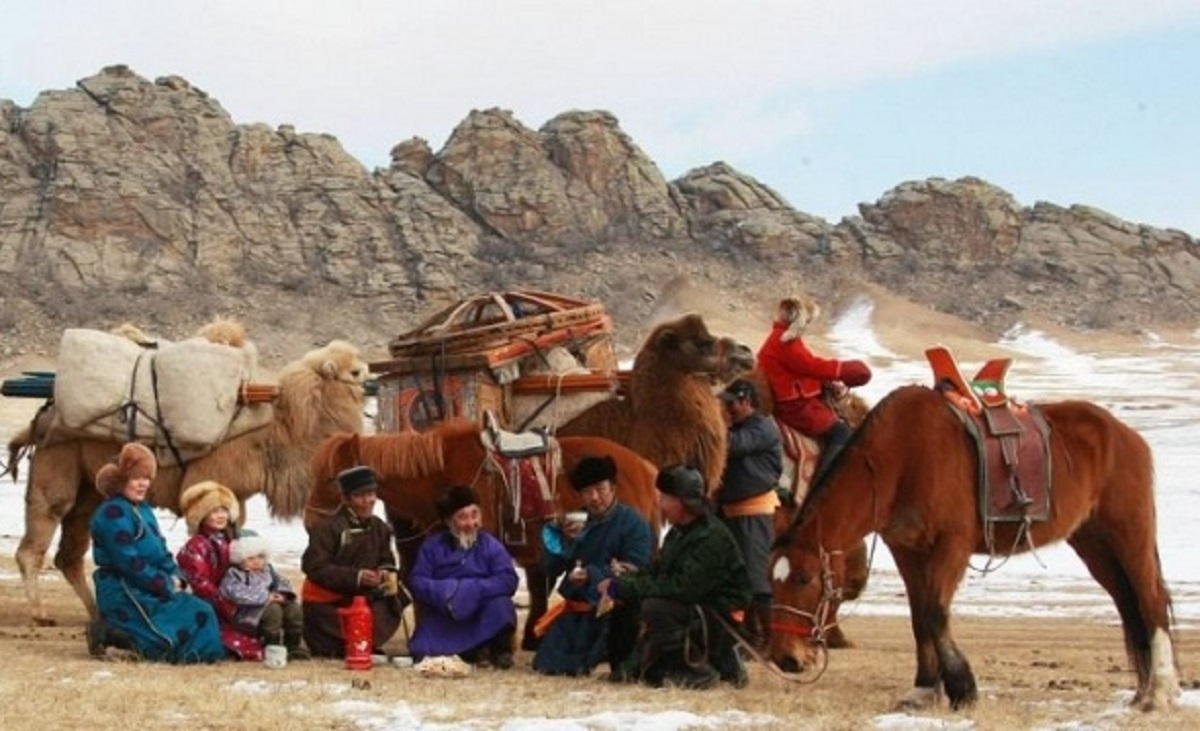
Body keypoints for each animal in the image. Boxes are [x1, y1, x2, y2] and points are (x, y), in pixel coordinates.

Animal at [7, 333, 367, 624]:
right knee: (43, 524)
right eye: (354, 372)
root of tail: (44, 415)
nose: (370, 376)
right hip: (59, 459)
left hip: (89, 486)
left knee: (70, 550)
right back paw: (40, 615)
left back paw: (96, 612)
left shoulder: (237, 496)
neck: (275, 434)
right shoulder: (210, 480)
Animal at [768, 384, 1180, 710]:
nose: (786, 658)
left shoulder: (952, 545)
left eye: (804, 579)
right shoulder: (908, 551)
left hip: (1129, 532)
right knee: (1127, 605)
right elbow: (919, 617)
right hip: (1094, 542)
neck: (901, 459)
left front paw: (963, 689)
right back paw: (1142, 691)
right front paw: (924, 690)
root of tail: (1127, 436)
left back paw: (1159, 692)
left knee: (1151, 599)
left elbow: (935, 613)